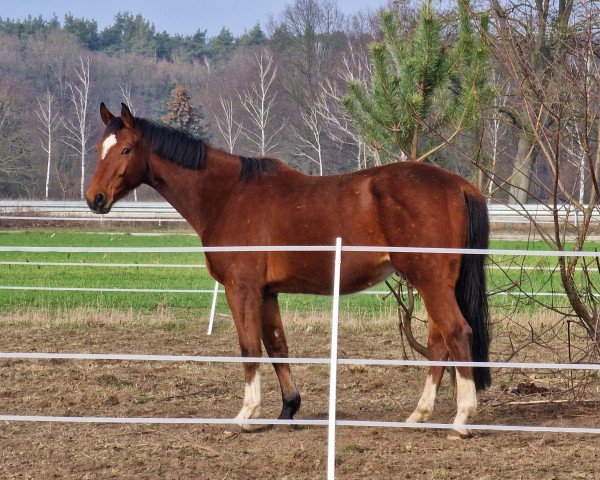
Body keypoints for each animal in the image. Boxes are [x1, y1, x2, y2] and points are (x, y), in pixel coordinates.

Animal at [86, 104, 490, 438]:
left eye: (126, 150)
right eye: (98, 149)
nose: (95, 199)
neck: (228, 195)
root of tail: (460, 185)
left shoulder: (242, 289)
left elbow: (249, 347)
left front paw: (247, 415)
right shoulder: (267, 292)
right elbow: (277, 345)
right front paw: (287, 410)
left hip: (430, 281)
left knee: (457, 334)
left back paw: (461, 420)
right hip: (434, 283)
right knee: (439, 343)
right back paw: (419, 415)